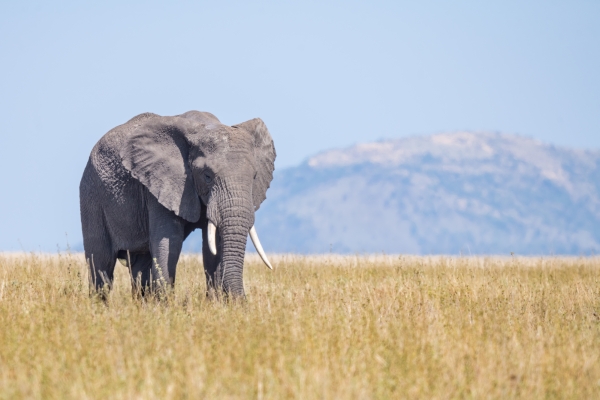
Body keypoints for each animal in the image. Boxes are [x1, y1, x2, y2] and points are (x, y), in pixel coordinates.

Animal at [78, 109, 276, 296]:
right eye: (207, 176)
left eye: (254, 176)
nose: (242, 299)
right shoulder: (159, 184)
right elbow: (170, 243)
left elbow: (213, 247)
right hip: (91, 194)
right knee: (101, 265)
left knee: (140, 266)